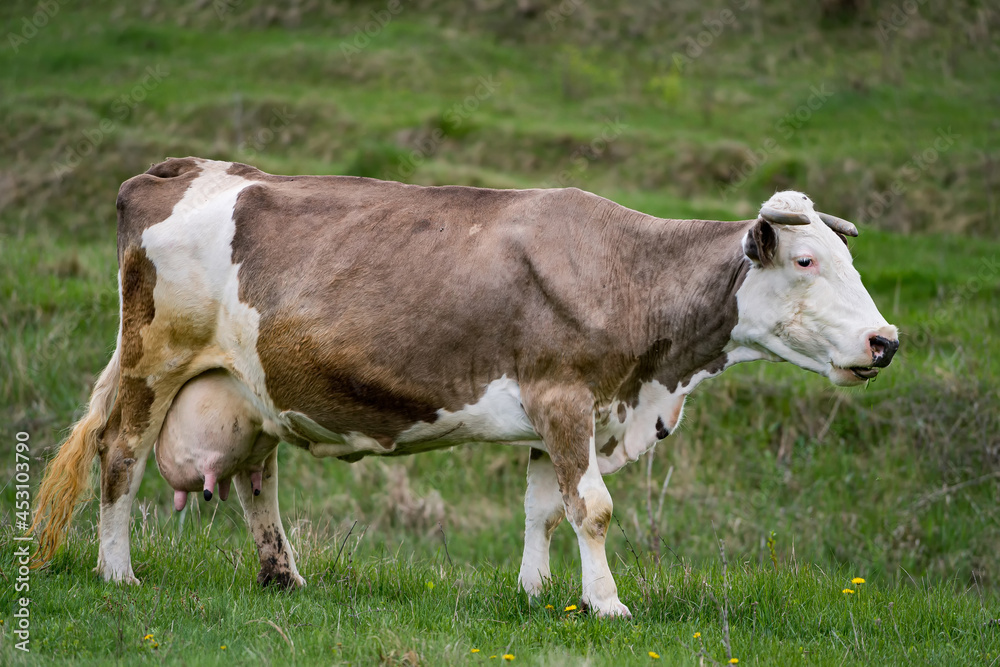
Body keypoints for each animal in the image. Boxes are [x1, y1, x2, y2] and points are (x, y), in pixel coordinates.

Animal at [35, 157, 904, 616]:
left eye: (850, 261)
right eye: (806, 261)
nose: (885, 340)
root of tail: (181, 168)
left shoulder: (557, 413)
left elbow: (543, 506)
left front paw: (535, 591)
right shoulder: (565, 397)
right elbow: (592, 506)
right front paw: (608, 603)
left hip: (248, 385)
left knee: (256, 475)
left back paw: (285, 575)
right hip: (154, 359)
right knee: (121, 454)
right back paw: (118, 570)